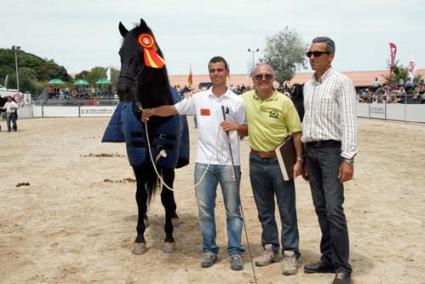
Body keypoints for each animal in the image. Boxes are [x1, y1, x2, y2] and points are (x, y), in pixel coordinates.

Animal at [102, 19, 189, 255]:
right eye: (121, 53)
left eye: (142, 52)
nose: (122, 89)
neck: (152, 115)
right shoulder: (138, 161)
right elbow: (140, 197)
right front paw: (139, 237)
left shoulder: (167, 161)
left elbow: (166, 195)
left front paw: (169, 237)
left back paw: (174, 216)